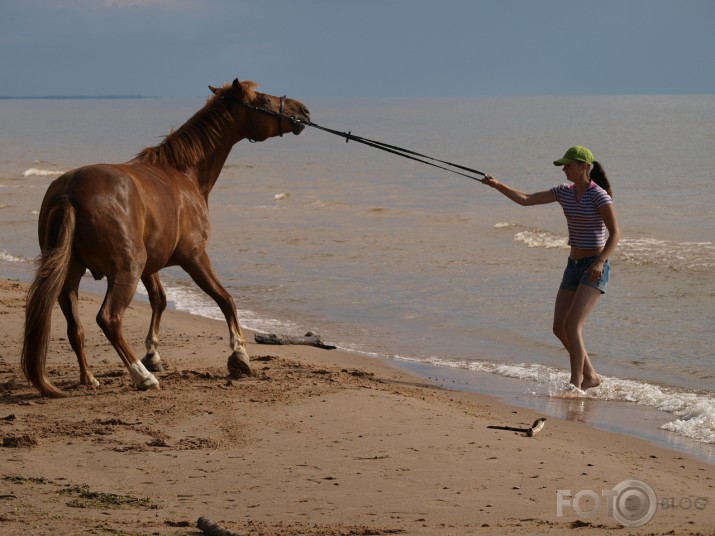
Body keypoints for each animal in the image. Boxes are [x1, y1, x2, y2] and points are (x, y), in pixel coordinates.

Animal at [19, 79, 310, 398]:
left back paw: (90, 378)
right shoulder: (194, 256)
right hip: (127, 270)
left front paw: (154, 354)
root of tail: (68, 192)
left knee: (76, 328)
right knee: (109, 319)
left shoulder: (152, 265)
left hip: (71, 276)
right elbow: (225, 299)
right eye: (265, 100)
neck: (183, 174)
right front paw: (239, 355)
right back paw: (141, 376)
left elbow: (160, 299)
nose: (304, 110)